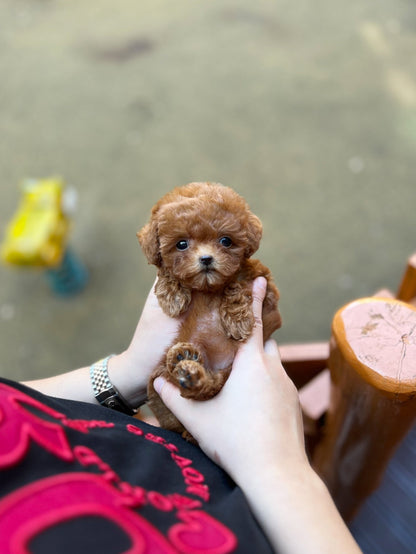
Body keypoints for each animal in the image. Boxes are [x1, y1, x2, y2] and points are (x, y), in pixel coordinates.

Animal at [138, 183, 282, 438]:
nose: (206, 258)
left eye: (226, 241)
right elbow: (167, 272)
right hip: (158, 384)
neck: (207, 288)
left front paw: (237, 321)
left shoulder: (267, 291)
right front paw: (172, 295)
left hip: (224, 376)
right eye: (181, 244)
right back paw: (184, 362)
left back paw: (191, 374)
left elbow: (236, 284)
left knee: (209, 389)